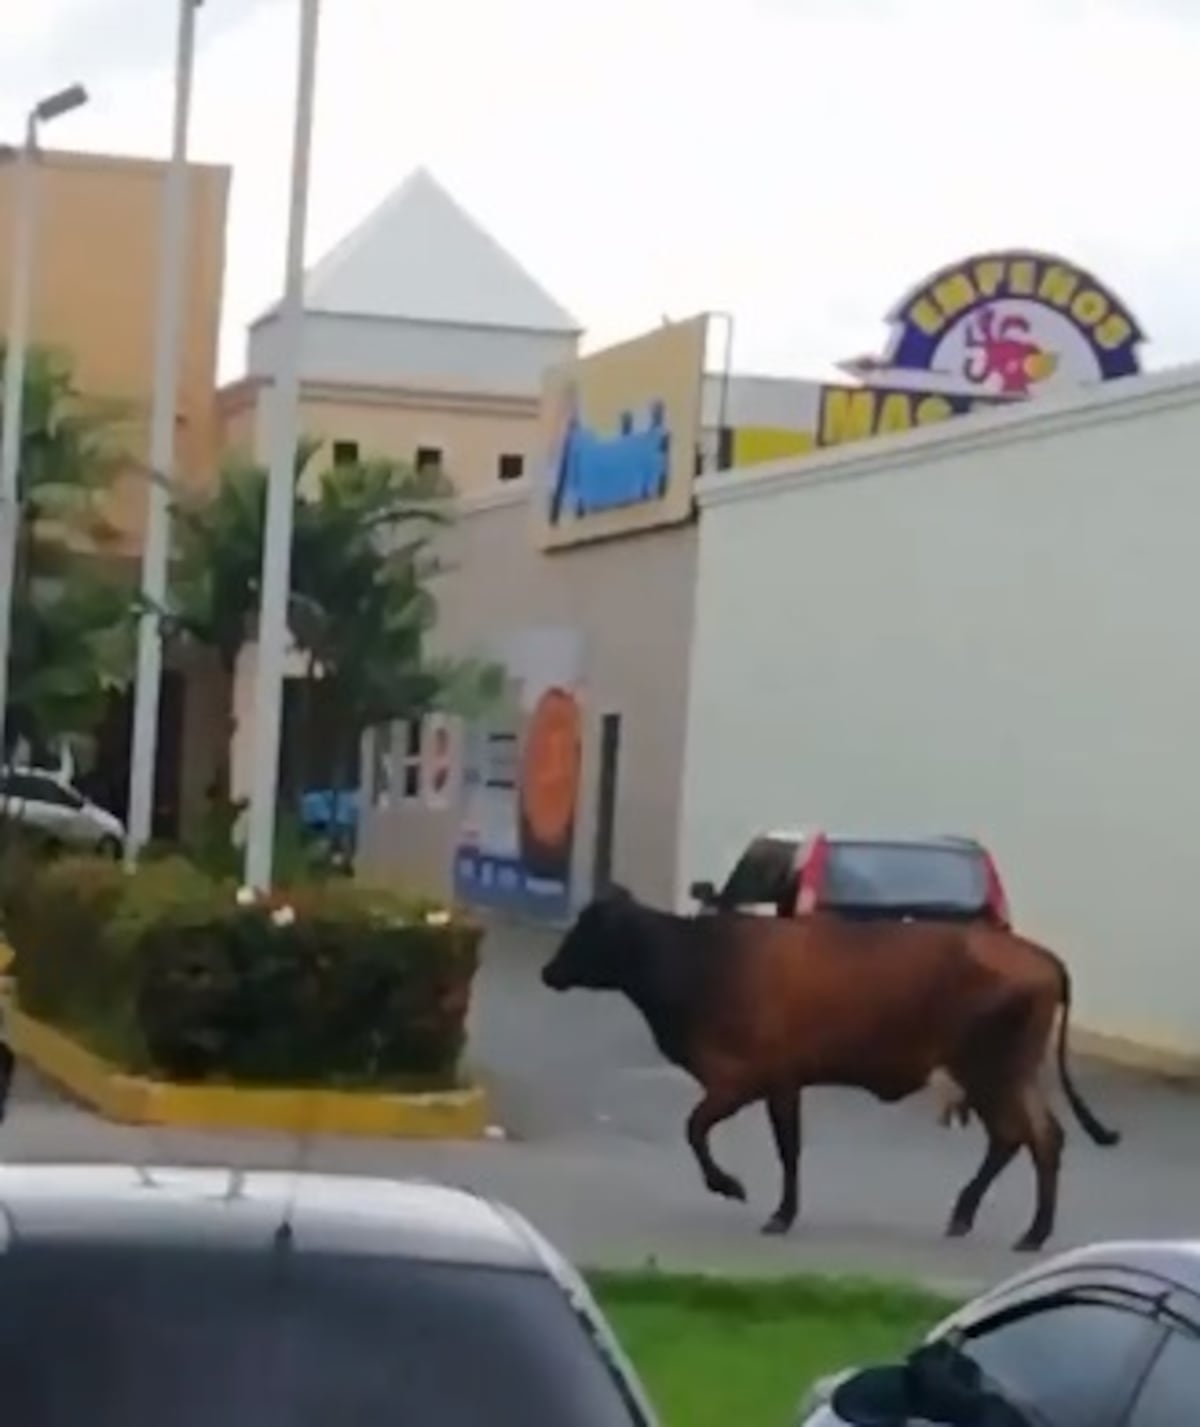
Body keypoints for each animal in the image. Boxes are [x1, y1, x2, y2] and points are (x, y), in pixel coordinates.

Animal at [539, 884, 1118, 1255]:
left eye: (588, 929)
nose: (548, 972)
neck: (703, 963)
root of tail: (1043, 958)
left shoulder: (752, 1078)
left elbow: (702, 1128)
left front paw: (741, 1192)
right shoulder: (781, 1082)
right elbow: (782, 1145)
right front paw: (778, 1208)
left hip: (991, 1069)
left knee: (1026, 1136)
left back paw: (1022, 1230)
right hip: (1003, 1073)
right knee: (1032, 1137)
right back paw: (997, 1222)